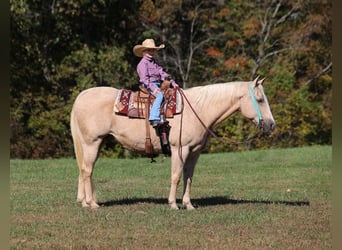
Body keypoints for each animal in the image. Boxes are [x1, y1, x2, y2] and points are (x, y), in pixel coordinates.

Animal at [71, 77, 276, 210]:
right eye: (259, 99)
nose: (271, 125)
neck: (198, 109)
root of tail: (82, 96)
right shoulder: (180, 149)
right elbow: (176, 176)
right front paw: (173, 204)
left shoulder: (194, 152)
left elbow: (188, 177)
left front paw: (188, 204)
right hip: (92, 143)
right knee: (87, 170)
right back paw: (92, 204)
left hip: (93, 144)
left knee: (83, 169)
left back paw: (83, 201)